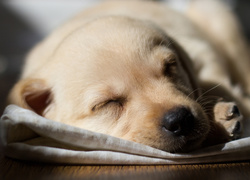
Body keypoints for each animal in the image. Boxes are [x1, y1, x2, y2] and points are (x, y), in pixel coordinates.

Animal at [6, 0, 250, 153]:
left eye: (170, 67)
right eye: (108, 103)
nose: (180, 119)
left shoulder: (200, 51)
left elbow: (215, 84)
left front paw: (220, 116)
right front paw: (218, 121)